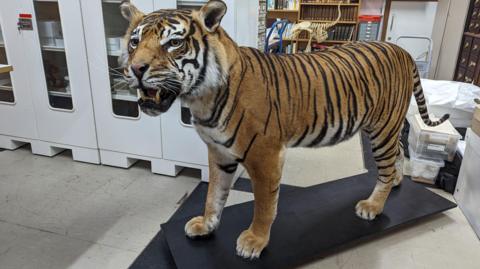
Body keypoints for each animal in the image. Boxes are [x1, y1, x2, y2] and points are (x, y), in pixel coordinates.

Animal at [120, 0, 450, 260]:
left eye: (173, 43)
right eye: (134, 42)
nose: (135, 69)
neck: (201, 98)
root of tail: (401, 48)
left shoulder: (264, 154)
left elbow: (265, 204)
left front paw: (254, 241)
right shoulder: (218, 153)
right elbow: (214, 193)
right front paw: (206, 225)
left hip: (383, 127)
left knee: (385, 164)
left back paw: (373, 205)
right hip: (380, 127)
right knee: (396, 155)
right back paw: (395, 182)